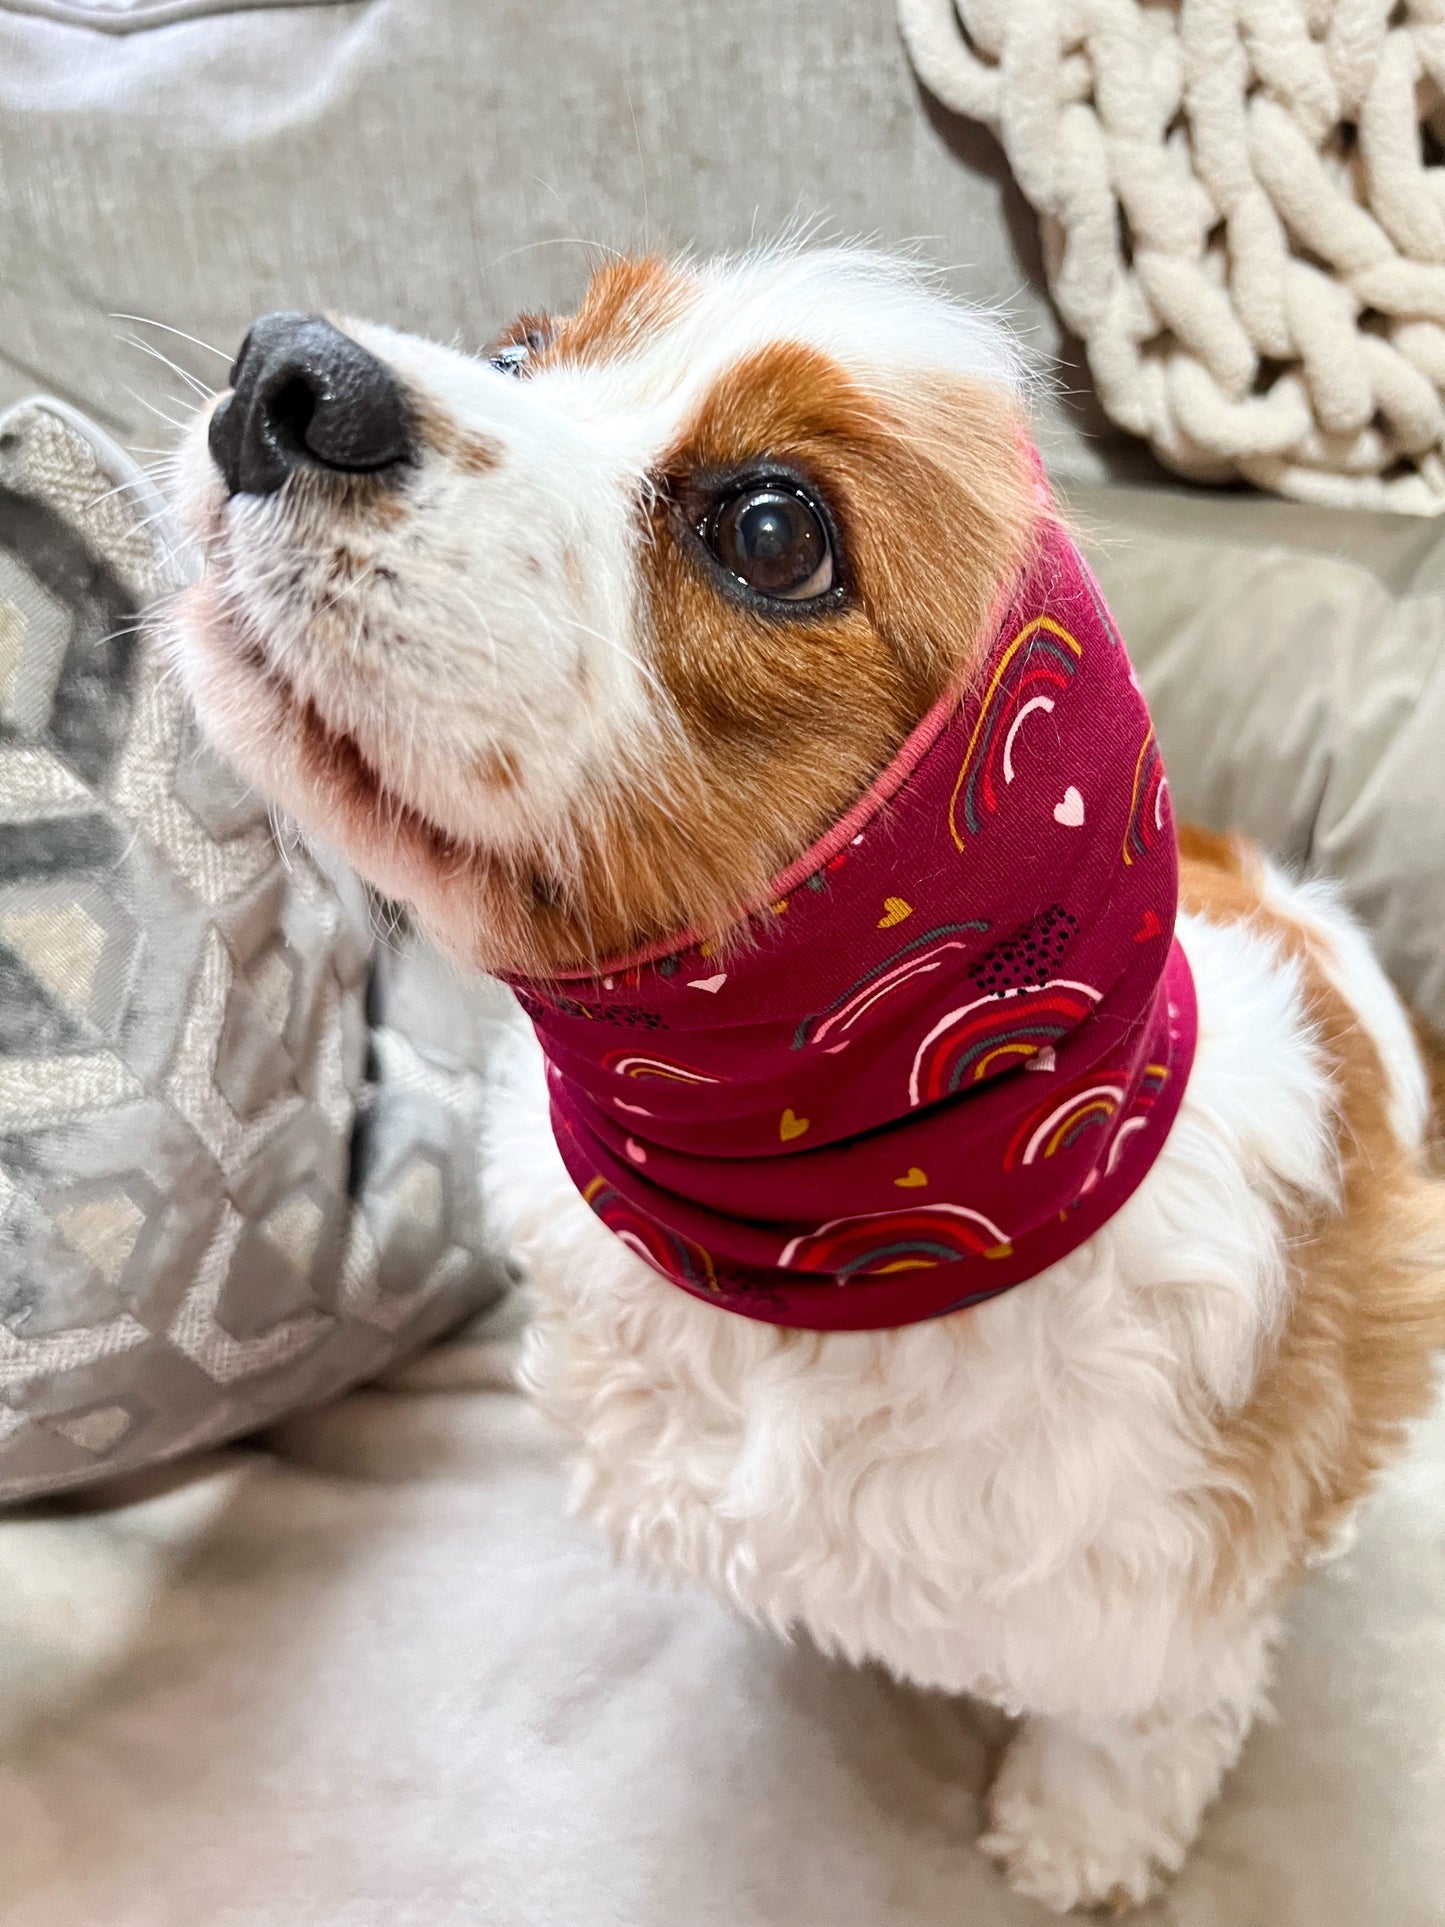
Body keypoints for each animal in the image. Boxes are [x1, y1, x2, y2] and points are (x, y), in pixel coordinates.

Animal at [160, 252, 1445, 1911]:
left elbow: (1135, 1728)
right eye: (521, 353)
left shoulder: (1175, 1589)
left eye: (773, 532)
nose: (286, 373)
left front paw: (1075, 1839)